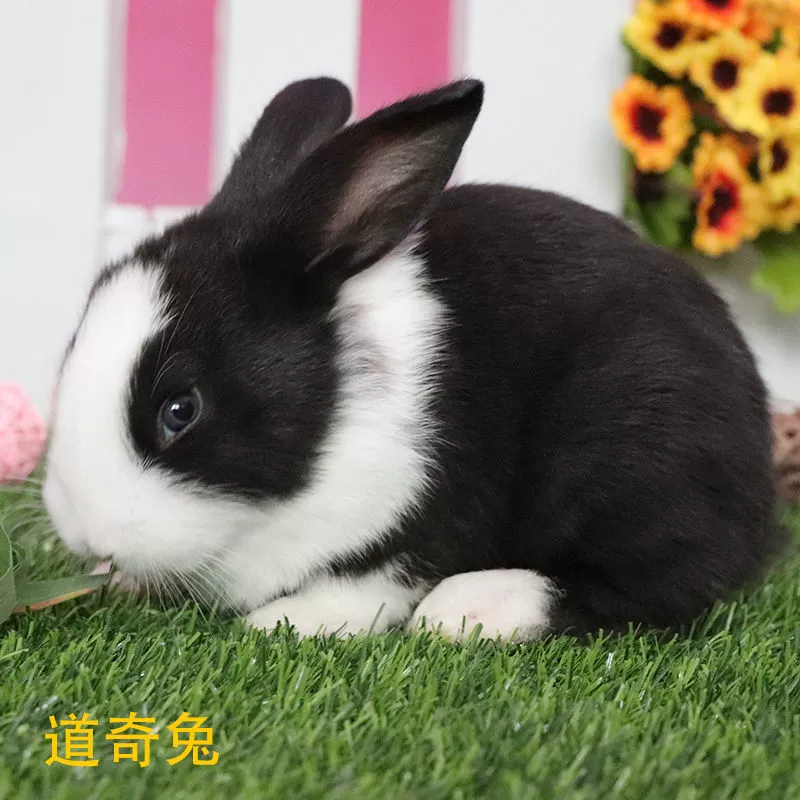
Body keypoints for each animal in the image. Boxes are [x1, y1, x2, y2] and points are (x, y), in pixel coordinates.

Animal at [43, 77, 785, 641]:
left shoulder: (428, 511)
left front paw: (285, 621)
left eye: (180, 409)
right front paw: (121, 584)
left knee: (668, 580)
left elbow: (379, 580)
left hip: (635, 455)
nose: (86, 539)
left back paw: (473, 609)